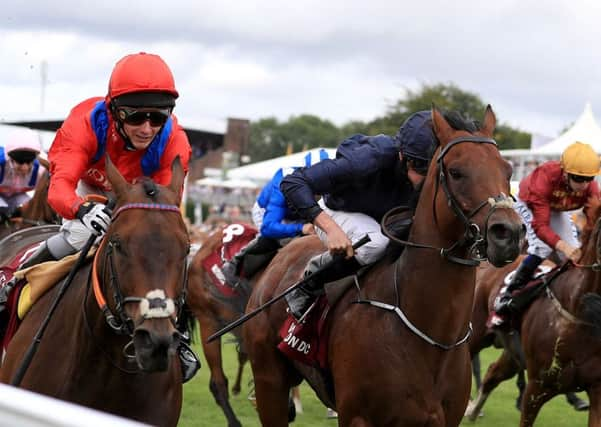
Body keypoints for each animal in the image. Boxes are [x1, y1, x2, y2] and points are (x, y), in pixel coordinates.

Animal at [241, 106, 524, 427]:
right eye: (456, 171)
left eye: (508, 171)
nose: (509, 234)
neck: (432, 338)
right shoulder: (357, 417)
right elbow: (296, 180)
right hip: (269, 380)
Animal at [466, 198, 601, 427]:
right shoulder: (537, 387)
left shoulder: (597, 390)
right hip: (475, 334)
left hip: (512, 350)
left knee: (493, 373)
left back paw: (473, 410)